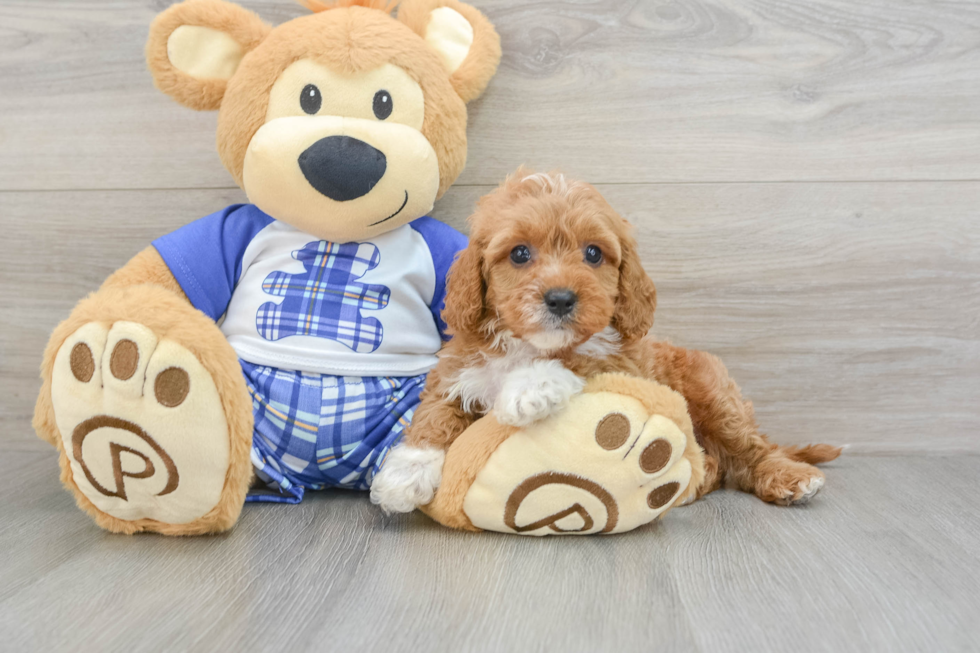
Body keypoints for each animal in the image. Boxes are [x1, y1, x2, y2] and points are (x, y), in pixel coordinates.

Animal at [372, 171, 840, 512]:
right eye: (520, 253)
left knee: (750, 450)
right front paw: (405, 474)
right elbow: (434, 415)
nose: (560, 298)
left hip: (715, 393)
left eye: (594, 253)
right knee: (719, 467)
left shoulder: (620, 363)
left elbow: (578, 359)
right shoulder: (458, 369)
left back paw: (788, 476)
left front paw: (528, 388)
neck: (529, 345)